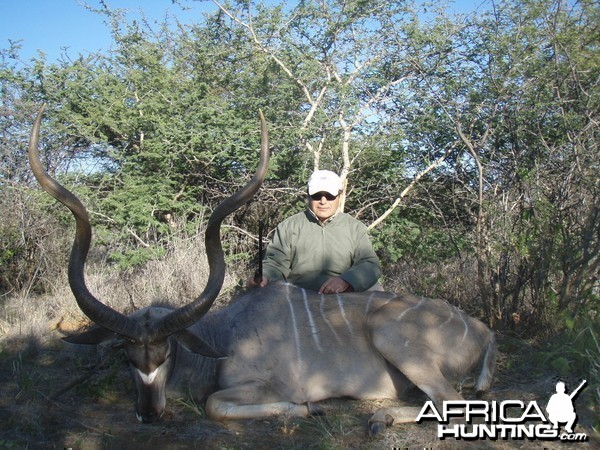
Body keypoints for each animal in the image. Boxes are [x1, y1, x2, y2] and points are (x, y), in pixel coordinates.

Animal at [29, 105, 496, 436]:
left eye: (165, 353)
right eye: (128, 356)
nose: (149, 414)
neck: (224, 337)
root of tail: (483, 330)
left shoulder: (265, 386)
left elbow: (217, 405)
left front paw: (311, 407)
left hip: (393, 339)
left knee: (454, 404)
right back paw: (379, 420)